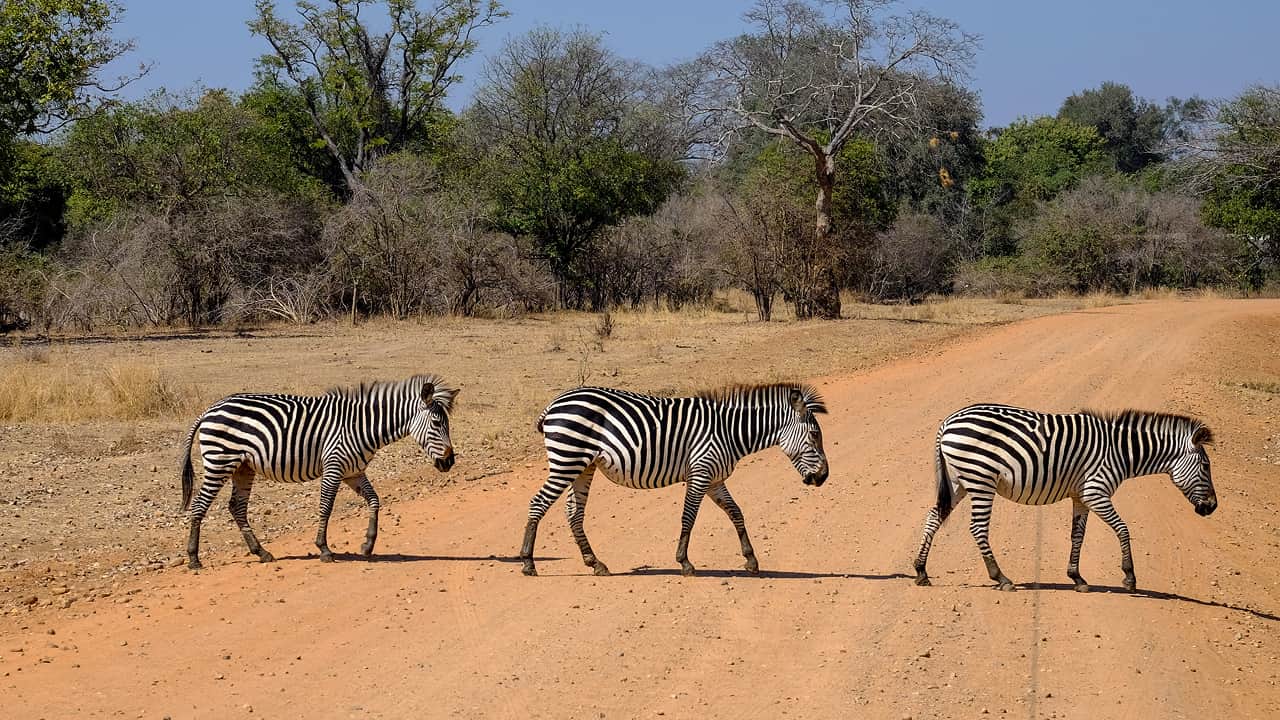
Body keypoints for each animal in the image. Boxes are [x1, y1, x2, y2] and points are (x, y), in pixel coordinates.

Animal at [177, 371, 458, 568]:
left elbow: (375, 500)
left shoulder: (353, 472)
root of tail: (211, 409)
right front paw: (324, 549)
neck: (362, 426)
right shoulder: (333, 466)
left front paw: (367, 545)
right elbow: (326, 507)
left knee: (237, 507)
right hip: (220, 461)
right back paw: (193, 559)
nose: (449, 462)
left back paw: (262, 553)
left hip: (243, 467)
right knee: (200, 505)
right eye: (436, 423)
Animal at [519, 384, 829, 573]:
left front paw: (751, 560)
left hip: (583, 465)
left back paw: (595, 563)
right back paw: (528, 563)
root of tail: (555, 403)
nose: (824, 477)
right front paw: (685, 563)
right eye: (815, 435)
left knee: (573, 512)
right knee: (538, 503)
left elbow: (736, 513)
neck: (729, 432)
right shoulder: (700, 473)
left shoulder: (715, 479)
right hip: (567, 459)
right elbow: (688, 517)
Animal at [911, 399, 1218, 591]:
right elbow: (1123, 529)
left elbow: (1077, 535)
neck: (1121, 452)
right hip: (980, 479)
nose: (1213, 507)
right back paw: (1001, 577)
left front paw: (1077, 577)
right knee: (977, 528)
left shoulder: (1081, 496)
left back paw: (921, 571)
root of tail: (948, 421)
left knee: (933, 517)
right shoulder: (1096, 491)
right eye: (1206, 466)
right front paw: (1129, 577)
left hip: (959, 481)